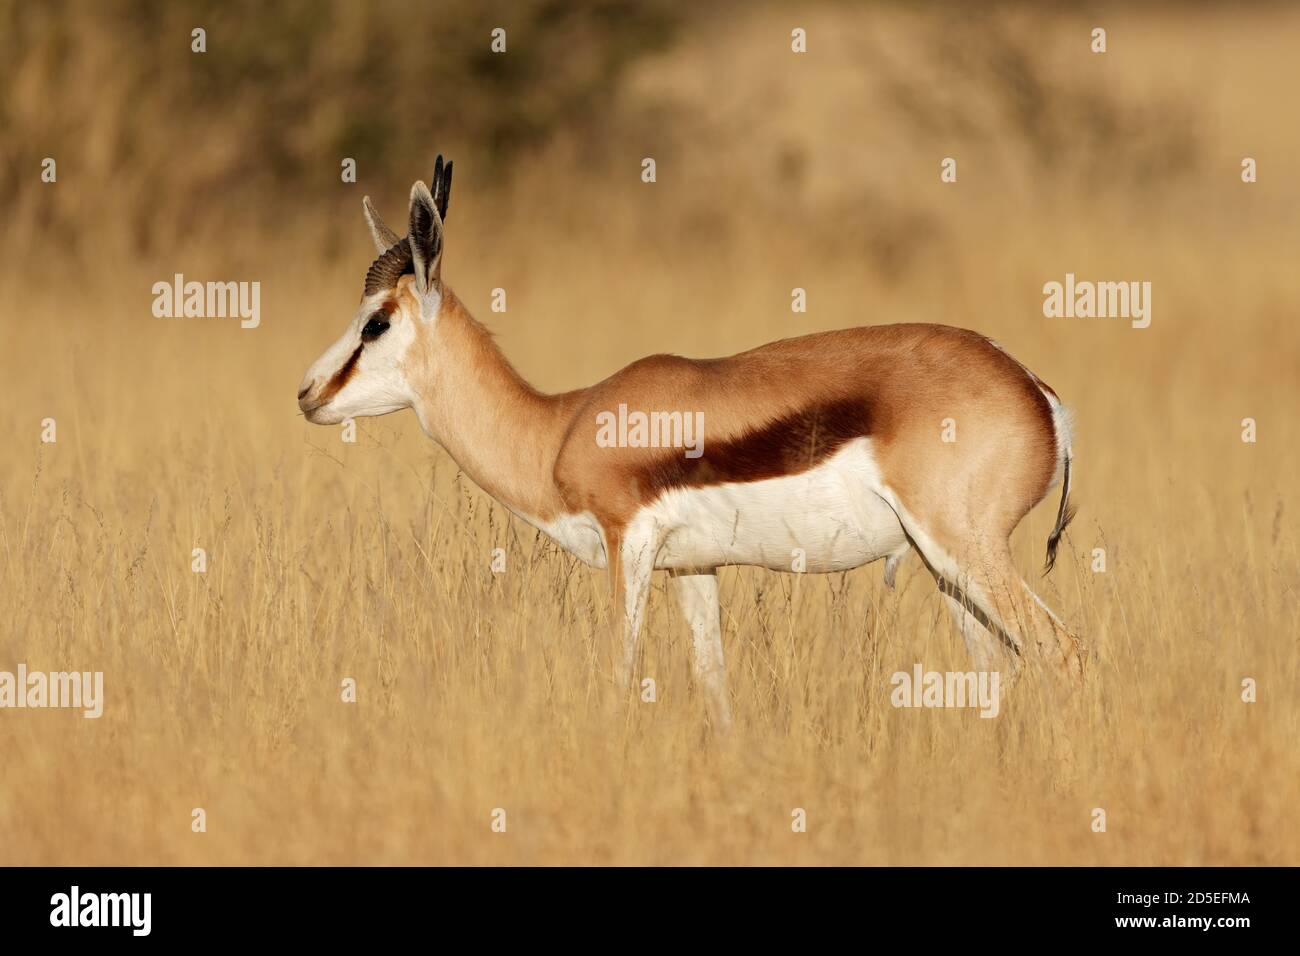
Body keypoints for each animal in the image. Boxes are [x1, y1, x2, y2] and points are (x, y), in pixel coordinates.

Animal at [299, 157, 1081, 728]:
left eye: (376, 322)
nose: (308, 392)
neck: (560, 426)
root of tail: (1040, 393)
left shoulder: (629, 547)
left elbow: (620, 674)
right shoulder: (692, 570)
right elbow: (714, 686)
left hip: (963, 550)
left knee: (1060, 651)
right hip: (944, 571)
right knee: (993, 672)